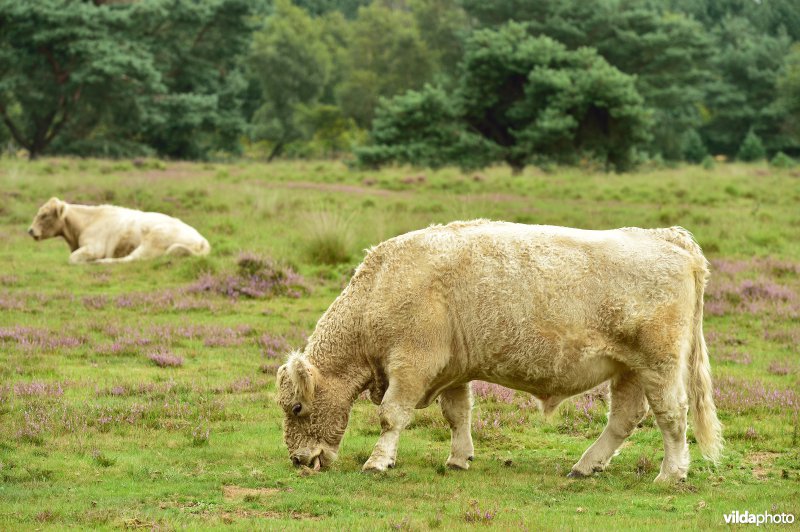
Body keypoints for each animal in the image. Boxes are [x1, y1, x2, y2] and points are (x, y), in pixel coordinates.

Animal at [28, 197, 211, 264]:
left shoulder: (94, 247)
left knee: (130, 259)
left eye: (44, 215)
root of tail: (202, 241)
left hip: (153, 240)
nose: (30, 230)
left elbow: (72, 259)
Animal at [278, 219, 720, 482]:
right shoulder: (452, 371)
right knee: (625, 418)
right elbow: (457, 415)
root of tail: (668, 236)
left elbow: (391, 416)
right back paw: (585, 465)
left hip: (659, 366)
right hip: (627, 369)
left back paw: (671, 473)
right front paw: (459, 458)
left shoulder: (412, 366)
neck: (380, 287)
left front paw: (378, 461)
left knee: (672, 416)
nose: (298, 460)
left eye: (297, 407)